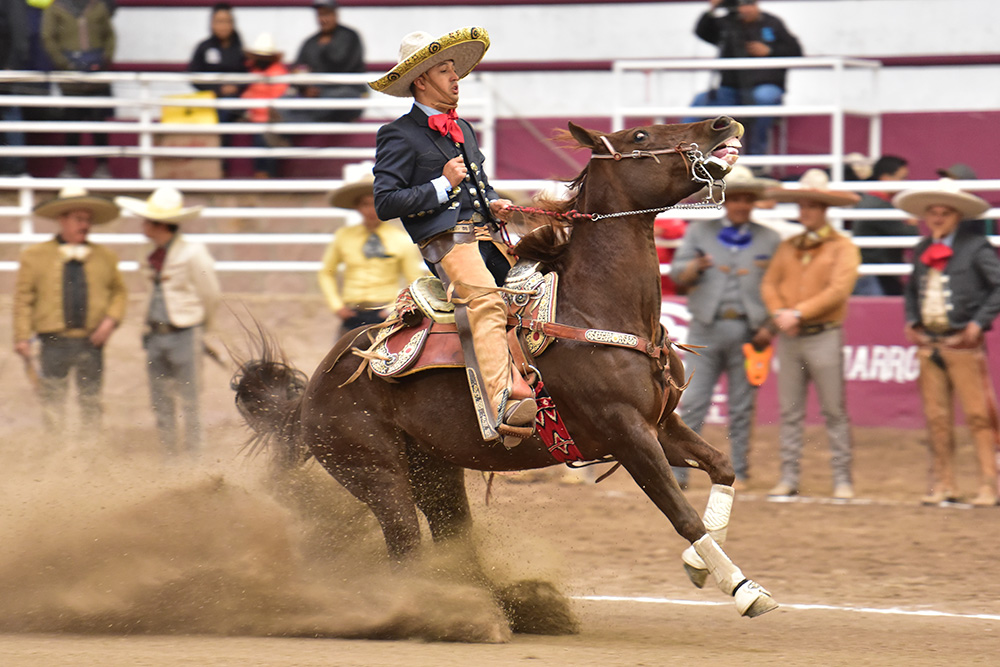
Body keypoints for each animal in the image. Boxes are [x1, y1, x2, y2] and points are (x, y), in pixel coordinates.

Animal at [236, 116, 780, 628]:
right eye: (641, 136)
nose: (722, 124)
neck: (598, 308)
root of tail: (317, 383)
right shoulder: (626, 432)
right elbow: (681, 514)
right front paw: (745, 590)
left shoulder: (661, 424)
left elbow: (722, 467)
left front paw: (699, 564)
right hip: (376, 472)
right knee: (405, 542)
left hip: (435, 470)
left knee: (452, 537)